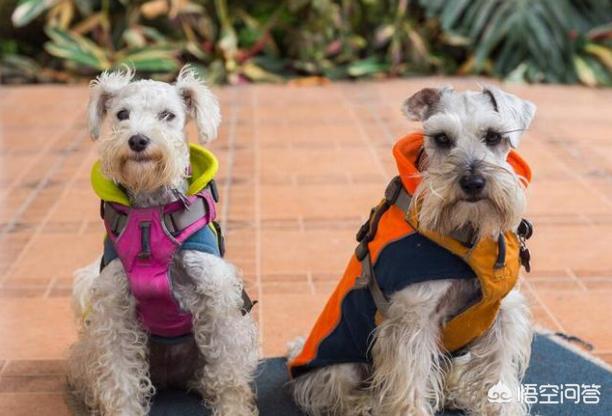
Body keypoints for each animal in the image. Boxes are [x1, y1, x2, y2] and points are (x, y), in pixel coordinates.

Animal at [68, 66, 260, 414]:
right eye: (122, 114)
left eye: (168, 115)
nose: (138, 140)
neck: (151, 213)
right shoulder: (115, 309)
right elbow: (120, 376)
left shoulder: (218, 301)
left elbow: (227, 371)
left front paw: (233, 407)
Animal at [290, 85, 532, 416]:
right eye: (441, 138)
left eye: (494, 136)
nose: (473, 182)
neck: (467, 238)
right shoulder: (412, 321)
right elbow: (411, 383)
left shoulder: (502, 315)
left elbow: (499, 377)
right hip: (342, 365)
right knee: (335, 394)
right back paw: (366, 404)